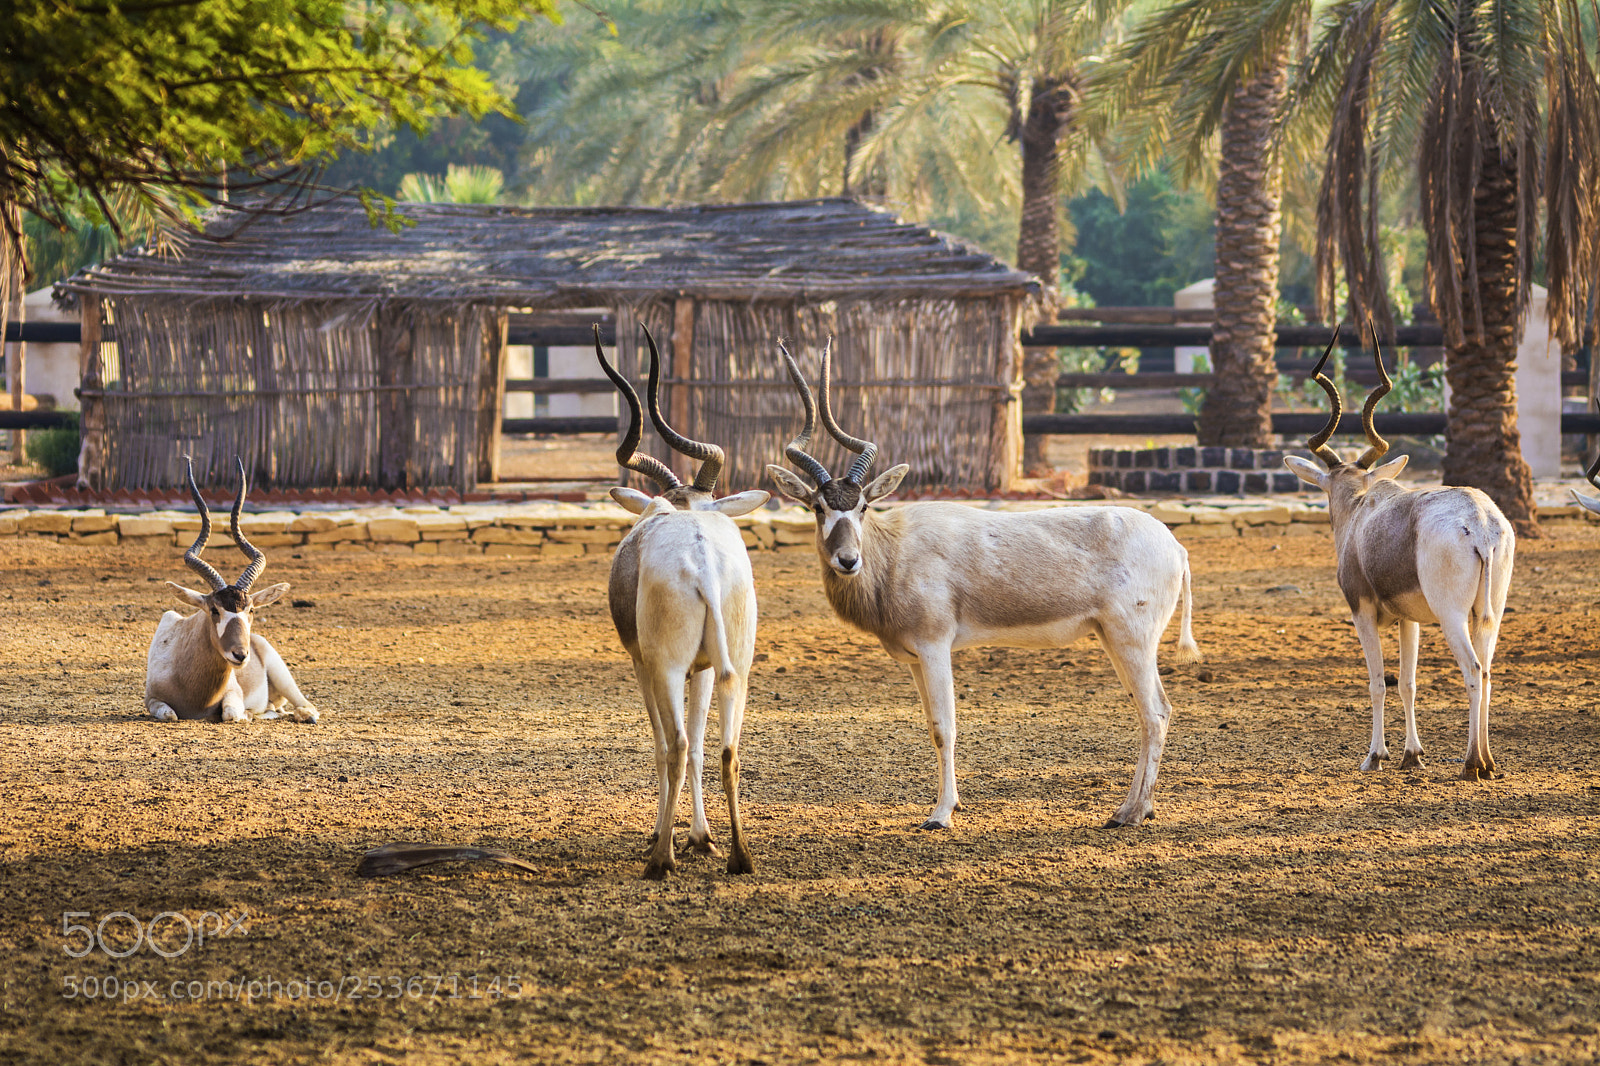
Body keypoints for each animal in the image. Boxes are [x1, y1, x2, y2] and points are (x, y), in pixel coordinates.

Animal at [145, 457, 318, 724]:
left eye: (252, 610)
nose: (241, 655)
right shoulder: (151, 699)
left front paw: (246, 714)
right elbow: (170, 714)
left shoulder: (233, 695)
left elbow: (231, 714)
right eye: (214, 610)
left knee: (306, 707)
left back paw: (300, 714)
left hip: (281, 674)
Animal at [595, 324, 768, 878]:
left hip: (667, 667)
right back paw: (739, 856)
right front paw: (701, 836)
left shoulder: (644, 664)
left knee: (676, 745)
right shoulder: (707, 668)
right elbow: (701, 749)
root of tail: (703, 558)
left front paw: (665, 835)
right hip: (736, 670)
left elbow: (662, 744)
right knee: (726, 749)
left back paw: (660, 860)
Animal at [766, 339, 1200, 830]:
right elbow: (930, 724)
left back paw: (1130, 812)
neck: (894, 551)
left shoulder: (935, 647)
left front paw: (941, 814)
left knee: (1156, 712)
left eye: (861, 507)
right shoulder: (915, 659)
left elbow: (945, 727)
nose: (847, 560)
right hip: (1112, 638)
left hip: (1132, 639)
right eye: (818, 507)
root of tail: (1175, 545)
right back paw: (1135, 809)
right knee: (1149, 712)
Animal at [1283, 328, 1514, 779]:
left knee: (1473, 670)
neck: (1362, 506)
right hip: (1488, 614)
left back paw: (1471, 763)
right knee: (1489, 671)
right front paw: (1412, 754)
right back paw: (1489, 761)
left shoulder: (1362, 612)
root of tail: (1479, 521)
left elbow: (1377, 681)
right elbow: (1407, 682)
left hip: (1451, 616)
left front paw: (1375, 756)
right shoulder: (1411, 621)